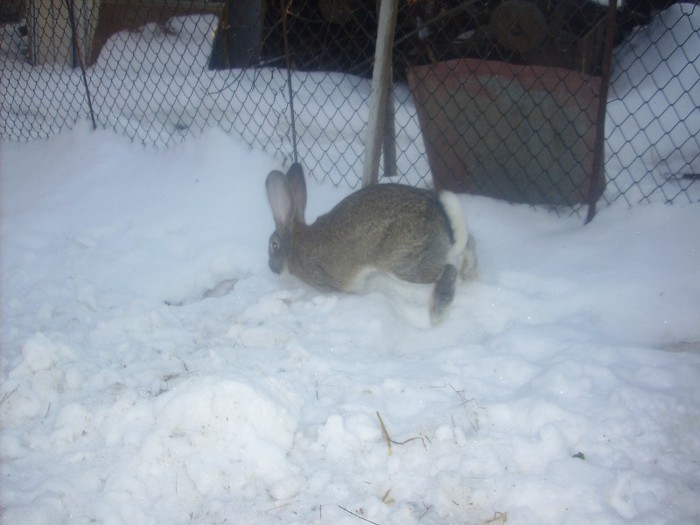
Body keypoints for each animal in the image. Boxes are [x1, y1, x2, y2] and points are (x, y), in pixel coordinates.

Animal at [264, 163, 476, 324]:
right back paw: (470, 273)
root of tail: (441, 216)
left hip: (402, 263)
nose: (271, 268)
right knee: (468, 243)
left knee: (447, 269)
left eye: (273, 246)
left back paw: (438, 311)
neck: (295, 245)